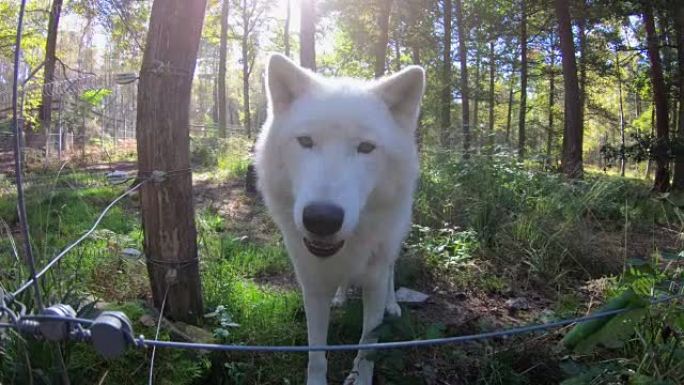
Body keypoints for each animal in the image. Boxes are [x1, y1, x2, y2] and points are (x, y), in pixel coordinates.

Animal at [255, 54, 424, 384]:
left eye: (366, 147)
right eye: (305, 141)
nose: (321, 219)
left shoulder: (373, 283)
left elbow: (367, 347)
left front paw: (360, 377)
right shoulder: (311, 286)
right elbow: (316, 355)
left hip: (394, 243)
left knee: (392, 271)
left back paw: (393, 305)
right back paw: (341, 297)